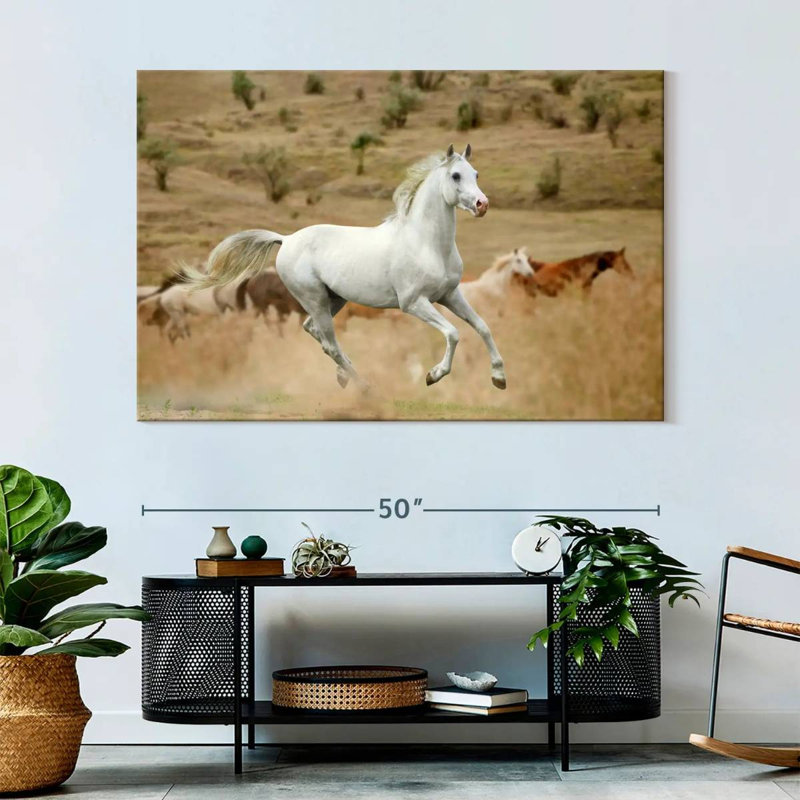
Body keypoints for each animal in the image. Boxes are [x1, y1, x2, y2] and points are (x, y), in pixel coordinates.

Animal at [185, 144, 506, 390]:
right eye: (455, 175)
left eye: (476, 173)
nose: (482, 204)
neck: (426, 243)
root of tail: (286, 239)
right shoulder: (414, 303)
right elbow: (453, 333)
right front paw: (433, 375)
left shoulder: (450, 295)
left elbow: (483, 327)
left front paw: (499, 377)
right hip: (314, 298)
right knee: (327, 341)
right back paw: (362, 385)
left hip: (334, 299)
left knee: (314, 331)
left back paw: (345, 374)